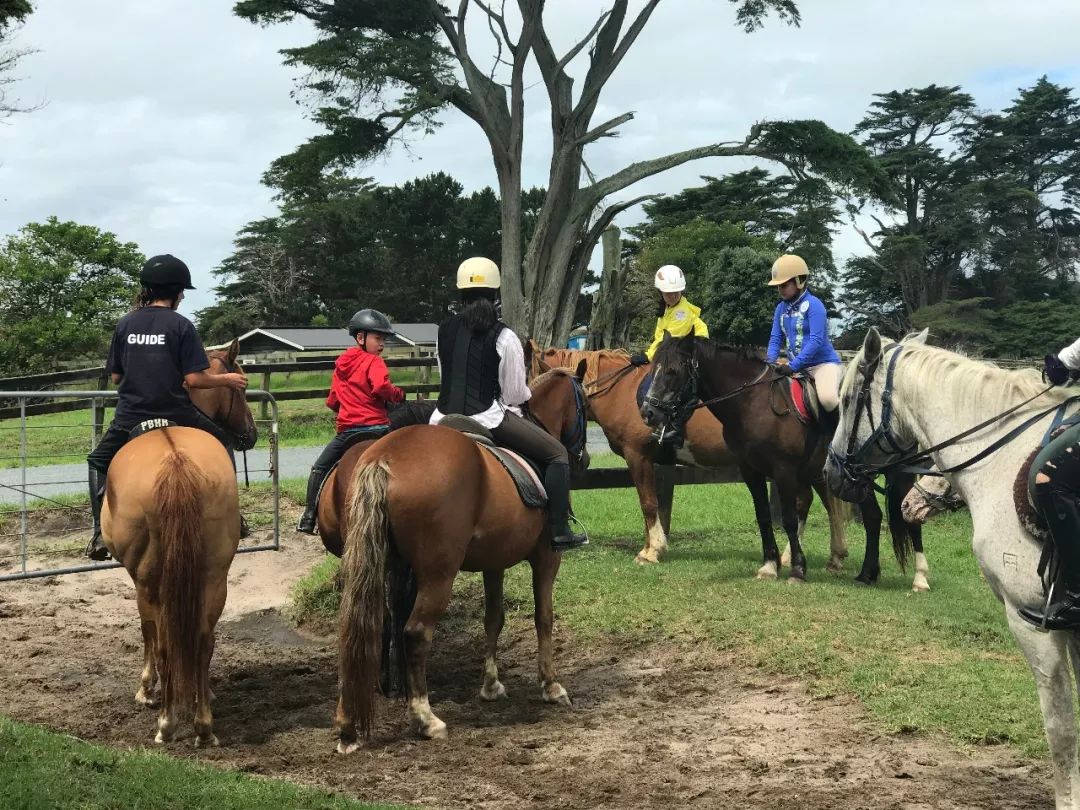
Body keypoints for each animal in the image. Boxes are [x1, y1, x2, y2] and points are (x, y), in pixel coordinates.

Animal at [101, 339, 261, 747]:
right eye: (241, 388)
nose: (251, 434)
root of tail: (175, 462)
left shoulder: (138, 580)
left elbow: (148, 634)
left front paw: (147, 690)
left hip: (149, 582)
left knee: (161, 640)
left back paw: (167, 722)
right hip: (214, 575)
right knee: (203, 640)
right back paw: (203, 725)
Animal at [336, 365, 591, 751]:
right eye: (584, 406)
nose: (585, 459)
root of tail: (385, 458)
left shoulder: (494, 562)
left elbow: (494, 618)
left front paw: (491, 685)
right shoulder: (547, 558)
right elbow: (544, 617)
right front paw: (550, 685)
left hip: (379, 565)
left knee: (361, 627)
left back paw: (347, 724)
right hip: (438, 574)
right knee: (416, 633)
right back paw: (425, 719)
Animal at [643, 332, 915, 587]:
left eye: (672, 371)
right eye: (653, 367)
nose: (648, 412)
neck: (752, 402)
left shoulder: (784, 471)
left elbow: (789, 519)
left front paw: (797, 569)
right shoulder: (750, 470)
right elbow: (763, 515)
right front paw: (769, 565)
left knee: (872, 515)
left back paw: (869, 572)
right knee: (864, 513)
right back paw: (864, 571)